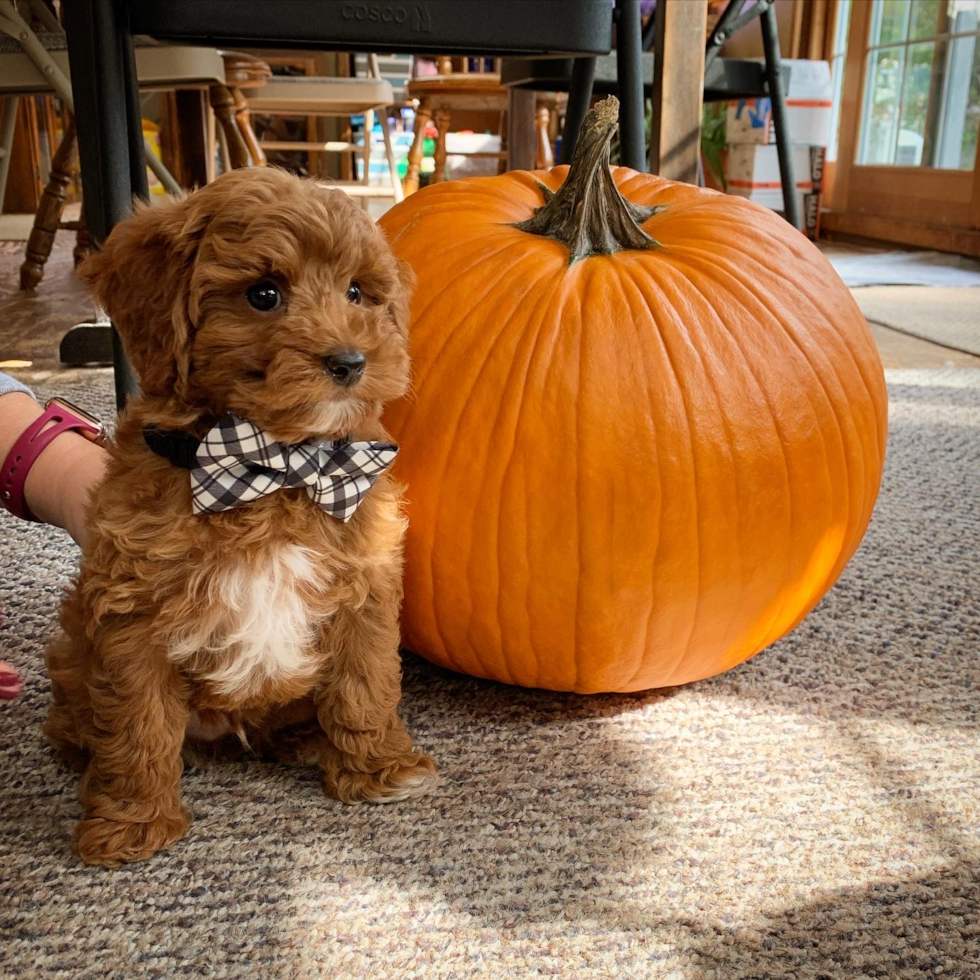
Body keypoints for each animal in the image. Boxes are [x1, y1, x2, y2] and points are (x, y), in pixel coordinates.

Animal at [46, 167, 436, 864]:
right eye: (263, 294)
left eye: (357, 292)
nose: (350, 361)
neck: (276, 464)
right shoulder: (131, 607)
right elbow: (136, 721)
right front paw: (131, 821)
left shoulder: (364, 580)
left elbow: (365, 682)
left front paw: (379, 769)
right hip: (74, 652)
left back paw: (306, 738)